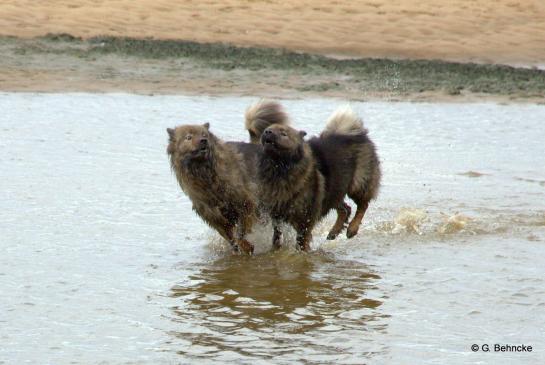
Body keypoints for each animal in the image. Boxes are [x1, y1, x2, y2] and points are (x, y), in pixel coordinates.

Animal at [166, 122, 258, 253]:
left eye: (204, 135)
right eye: (188, 137)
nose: (203, 141)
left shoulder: (245, 200)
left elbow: (242, 230)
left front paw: (244, 244)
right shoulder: (210, 214)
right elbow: (229, 234)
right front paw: (237, 246)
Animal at [258, 104, 378, 249]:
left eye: (284, 133)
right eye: (268, 129)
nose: (267, 132)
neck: (280, 169)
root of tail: (357, 134)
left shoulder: (305, 220)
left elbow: (301, 242)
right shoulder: (277, 215)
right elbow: (276, 237)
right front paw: (275, 250)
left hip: (357, 184)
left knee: (362, 205)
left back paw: (352, 229)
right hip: (335, 190)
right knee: (346, 209)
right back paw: (334, 231)